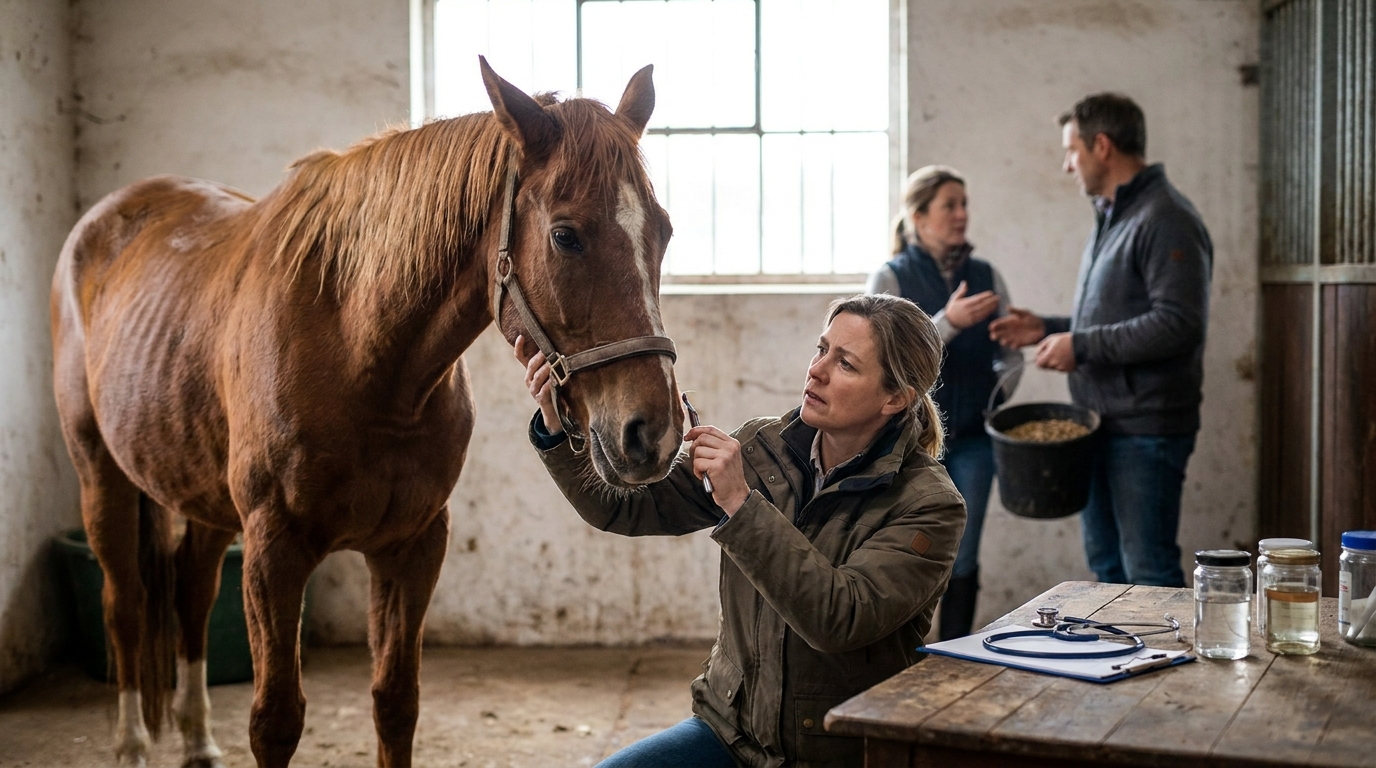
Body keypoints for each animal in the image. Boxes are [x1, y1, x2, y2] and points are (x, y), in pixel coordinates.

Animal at [50, 58, 682, 768]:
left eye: (662, 231)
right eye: (565, 236)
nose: (654, 433)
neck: (363, 357)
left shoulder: (412, 546)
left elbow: (395, 702)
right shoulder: (272, 551)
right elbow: (275, 719)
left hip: (205, 498)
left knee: (190, 595)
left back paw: (196, 739)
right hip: (100, 475)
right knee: (125, 604)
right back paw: (132, 743)